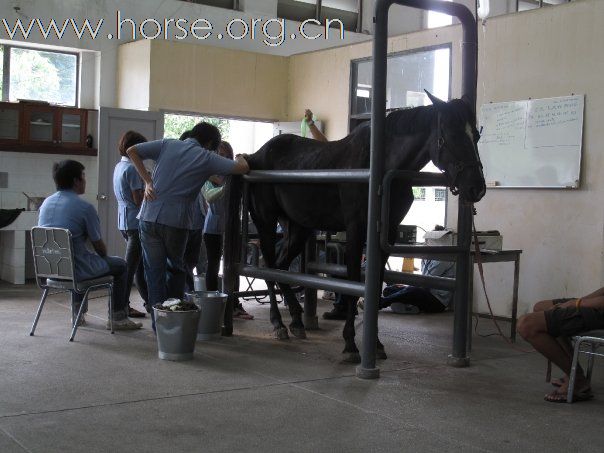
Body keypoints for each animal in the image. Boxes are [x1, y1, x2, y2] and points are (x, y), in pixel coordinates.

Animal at [243, 91, 484, 360]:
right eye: (452, 134)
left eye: (476, 135)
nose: (477, 188)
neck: (381, 169)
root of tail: (254, 156)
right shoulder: (356, 230)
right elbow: (352, 283)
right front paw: (350, 344)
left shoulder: (386, 235)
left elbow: (375, 286)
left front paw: (376, 344)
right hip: (266, 222)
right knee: (269, 270)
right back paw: (279, 324)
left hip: (297, 228)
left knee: (281, 268)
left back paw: (296, 320)